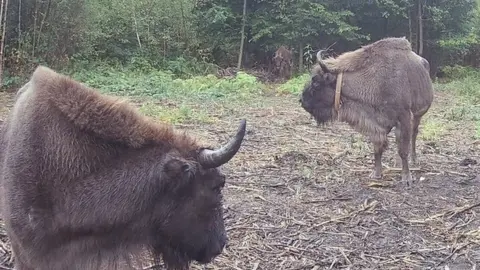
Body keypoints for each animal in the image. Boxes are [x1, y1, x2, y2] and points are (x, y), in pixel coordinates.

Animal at [298, 37, 434, 185]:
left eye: (316, 83)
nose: (302, 100)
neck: (376, 82)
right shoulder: (379, 124)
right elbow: (378, 147)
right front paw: (376, 174)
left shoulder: (403, 118)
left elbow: (403, 149)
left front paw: (406, 178)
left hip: (418, 115)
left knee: (413, 135)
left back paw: (413, 160)